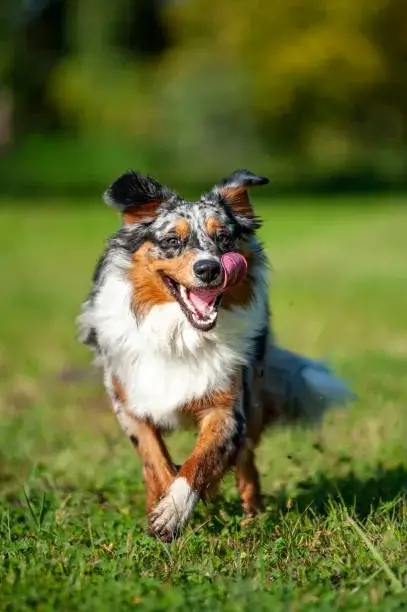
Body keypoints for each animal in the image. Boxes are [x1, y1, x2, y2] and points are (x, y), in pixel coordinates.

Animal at [77, 169, 354, 540]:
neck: (181, 336)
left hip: (253, 404)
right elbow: (155, 461)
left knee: (246, 465)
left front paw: (174, 510)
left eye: (224, 238)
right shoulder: (130, 403)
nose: (209, 269)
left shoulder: (227, 407)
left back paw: (252, 518)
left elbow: (201, 462)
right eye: (172, 241)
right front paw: (162, 508)